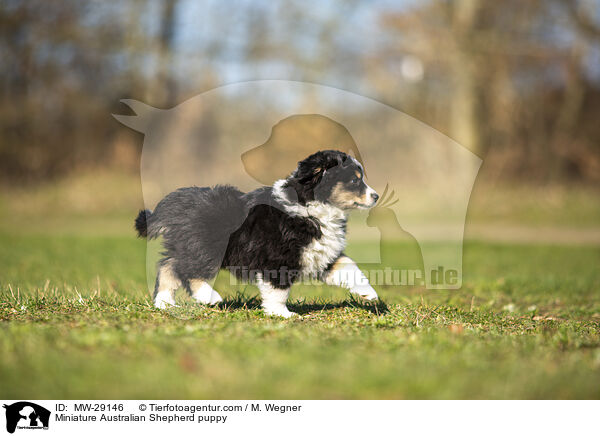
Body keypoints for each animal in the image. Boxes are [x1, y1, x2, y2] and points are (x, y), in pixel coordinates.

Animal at [136, 150, 380, 316]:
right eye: (354, 180)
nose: (376, 196)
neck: (312, 207)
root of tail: (175, 204)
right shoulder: (278, 259)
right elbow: (278, 291)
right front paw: (282, 314)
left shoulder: (321, 255)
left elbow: (348, 266)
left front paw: (369, 293)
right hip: (205, 247)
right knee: (189, 272)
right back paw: (210, 297)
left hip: (186, 246)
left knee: (168, 267)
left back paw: (164, 303)